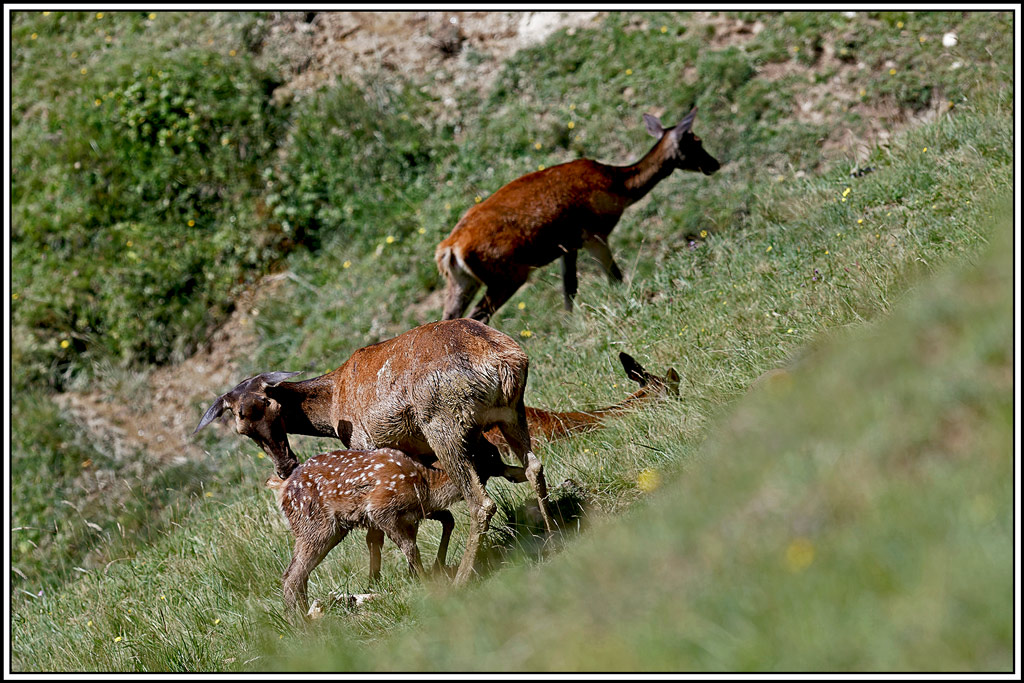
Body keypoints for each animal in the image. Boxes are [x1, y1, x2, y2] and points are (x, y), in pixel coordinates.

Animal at [194, 318, 553, 586]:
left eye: (276, 408)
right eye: (242, 429)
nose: (285, 466)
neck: (333, 407)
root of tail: (503, 362)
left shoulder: (364, 442)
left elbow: (374, 534)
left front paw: (376, 580)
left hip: (442, 421)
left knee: (482, 502)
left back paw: (462, 579)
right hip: (510, 411)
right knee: (534, 467)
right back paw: (552, 535)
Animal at [436, 107, 720, 323]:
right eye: (696, 141)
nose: (715, 163)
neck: (618, 187)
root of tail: (450, 248)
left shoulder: (568, 245)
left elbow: (569, 288)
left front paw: (570, 323)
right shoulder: (594, 233)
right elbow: (615, 277)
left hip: (462, 282)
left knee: (450, 316)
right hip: (507, 273)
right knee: (479, 314)